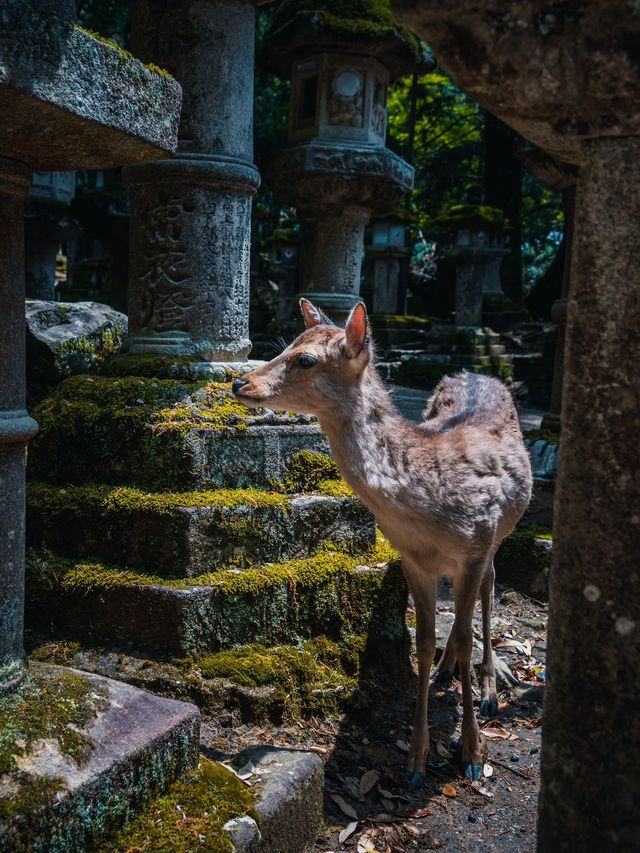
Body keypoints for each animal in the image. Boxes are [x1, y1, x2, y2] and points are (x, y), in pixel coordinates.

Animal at [232, 298, 532, 784]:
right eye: (288, 344)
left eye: (306, 359)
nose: (240, 381)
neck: (426, 509)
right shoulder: (413, 559)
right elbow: (423, 643)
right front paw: (416, 760)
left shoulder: (475, 545)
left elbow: (465, 633)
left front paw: (471, 753)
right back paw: (447, 672)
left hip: (498, 536)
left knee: (489, 592)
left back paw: (487, 691)